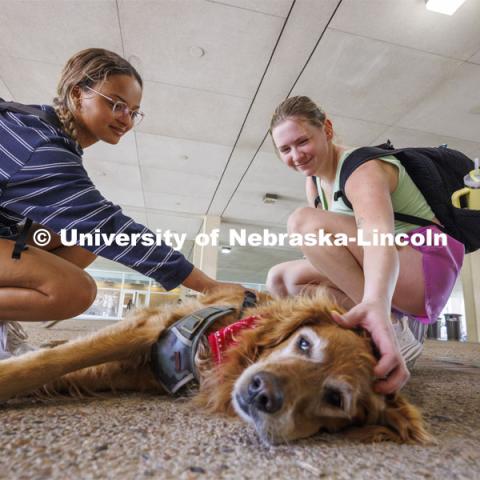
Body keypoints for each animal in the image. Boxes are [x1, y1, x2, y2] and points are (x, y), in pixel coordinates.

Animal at [0, 286, 430, 444]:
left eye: (336, 400)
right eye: (304, 343)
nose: (263, 391)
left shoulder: (128, 372)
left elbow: (62, 371)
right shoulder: (147, 329)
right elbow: (51, 361)